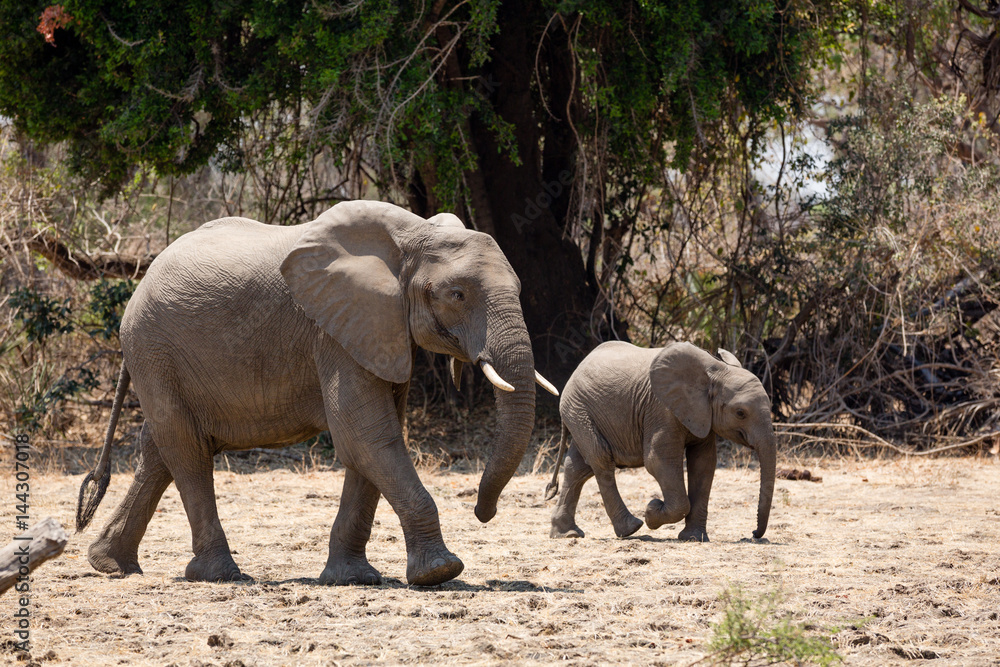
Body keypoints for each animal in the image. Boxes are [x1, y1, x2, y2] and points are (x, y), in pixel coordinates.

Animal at [75, 199, 558, 587]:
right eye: (456, 294)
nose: (482, 511)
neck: (411, 236)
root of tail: (141, 281)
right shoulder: (335, 331)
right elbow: (366, 434)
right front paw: (440, 573)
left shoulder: (376, 329)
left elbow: (370, 441)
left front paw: (353, 578)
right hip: (153, 346)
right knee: (187, 450)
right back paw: (221, 576)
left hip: (161, 357)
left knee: (160, 450)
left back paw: (112, 565)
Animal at [544, 341, 775, 542]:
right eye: (740, 413)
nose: (753, 534)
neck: (716, 370)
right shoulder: (661, 410)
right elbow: (658, 460)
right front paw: (652, 510)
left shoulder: (701, 414)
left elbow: (703, 464)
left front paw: (694, 538)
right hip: (579, 409)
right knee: (601, 461)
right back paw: (631, 529)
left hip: (581, 412)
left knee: (578, 467)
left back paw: (567, 534)